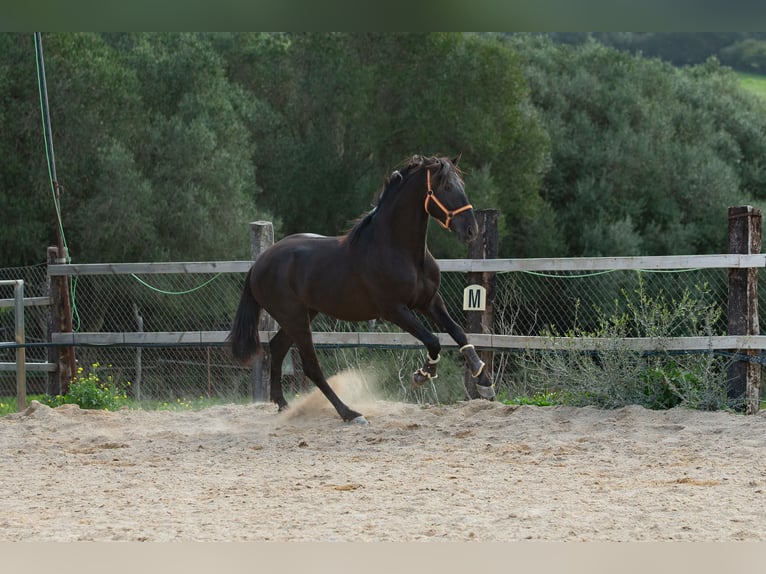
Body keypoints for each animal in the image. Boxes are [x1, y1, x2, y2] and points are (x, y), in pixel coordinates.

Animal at [225, 155, 496, 426]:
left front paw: (483, 380)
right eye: (446, 187)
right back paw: (350, 413)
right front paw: (423, 374)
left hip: (303, 314)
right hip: (295, 319)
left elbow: (459, 332)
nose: (471, 230)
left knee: (278, 347)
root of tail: (259, 263)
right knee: (311, 367)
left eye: (461, 184)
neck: (400, 250)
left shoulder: (429, 301)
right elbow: (433, 340)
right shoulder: (394, 310)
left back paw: (283, 405)